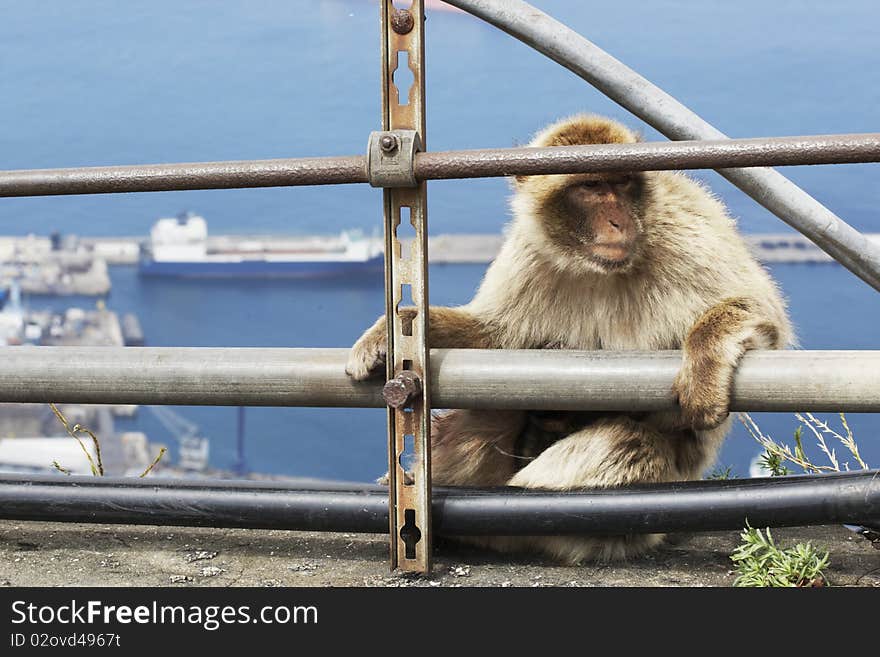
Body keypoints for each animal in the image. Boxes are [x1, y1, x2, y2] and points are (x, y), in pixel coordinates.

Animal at [344, 114, 792, 564]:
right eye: (590, 187)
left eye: (622, 182)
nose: (618, 221)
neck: (597, 267)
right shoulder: (530, 252)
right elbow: (495, 337)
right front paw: (390, 332)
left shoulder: (686, 230)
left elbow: (765, 315)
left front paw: (704, 365)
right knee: (488, 412)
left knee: (627, 442)